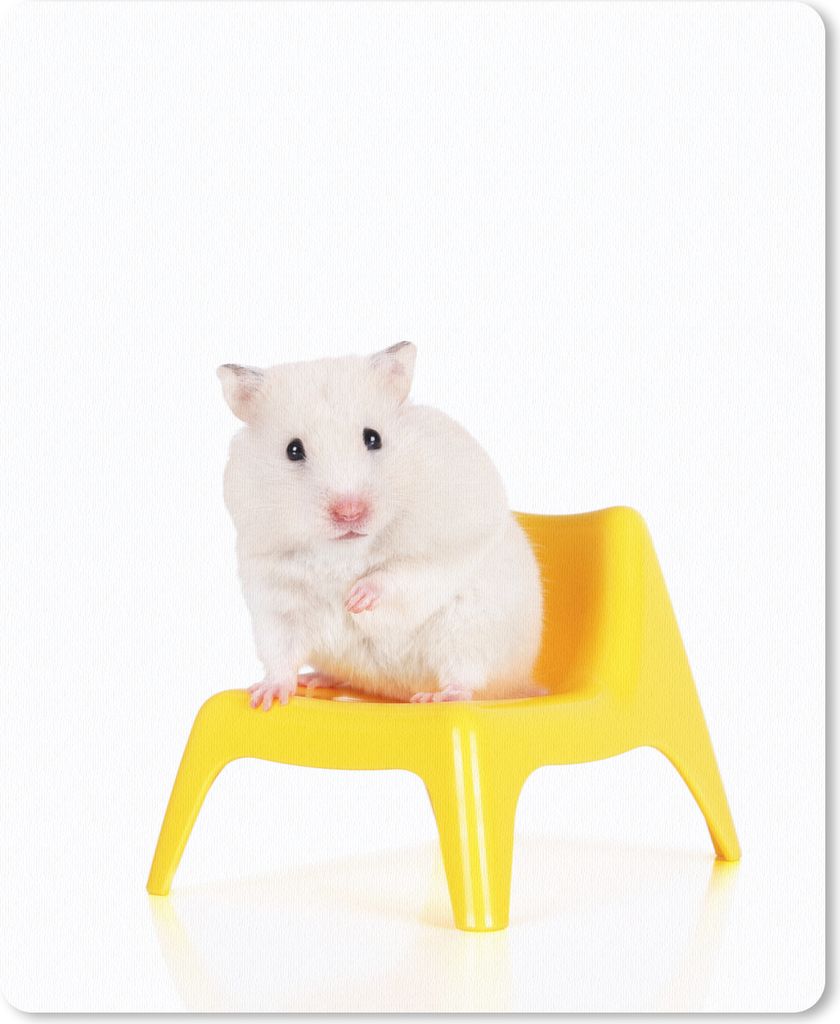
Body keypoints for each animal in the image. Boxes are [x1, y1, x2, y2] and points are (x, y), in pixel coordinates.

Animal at [217, 342, 545, 710]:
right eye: (293, 449)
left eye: (373, 438)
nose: (349, 513)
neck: (345, 550)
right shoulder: (275, 595)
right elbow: (280, 654)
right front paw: (266, 697)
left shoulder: (446, 546)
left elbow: (401, 573)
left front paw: (355, 599)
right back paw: (315, 679)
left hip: (470, 632)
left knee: (467, 680)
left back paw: (435, 697)